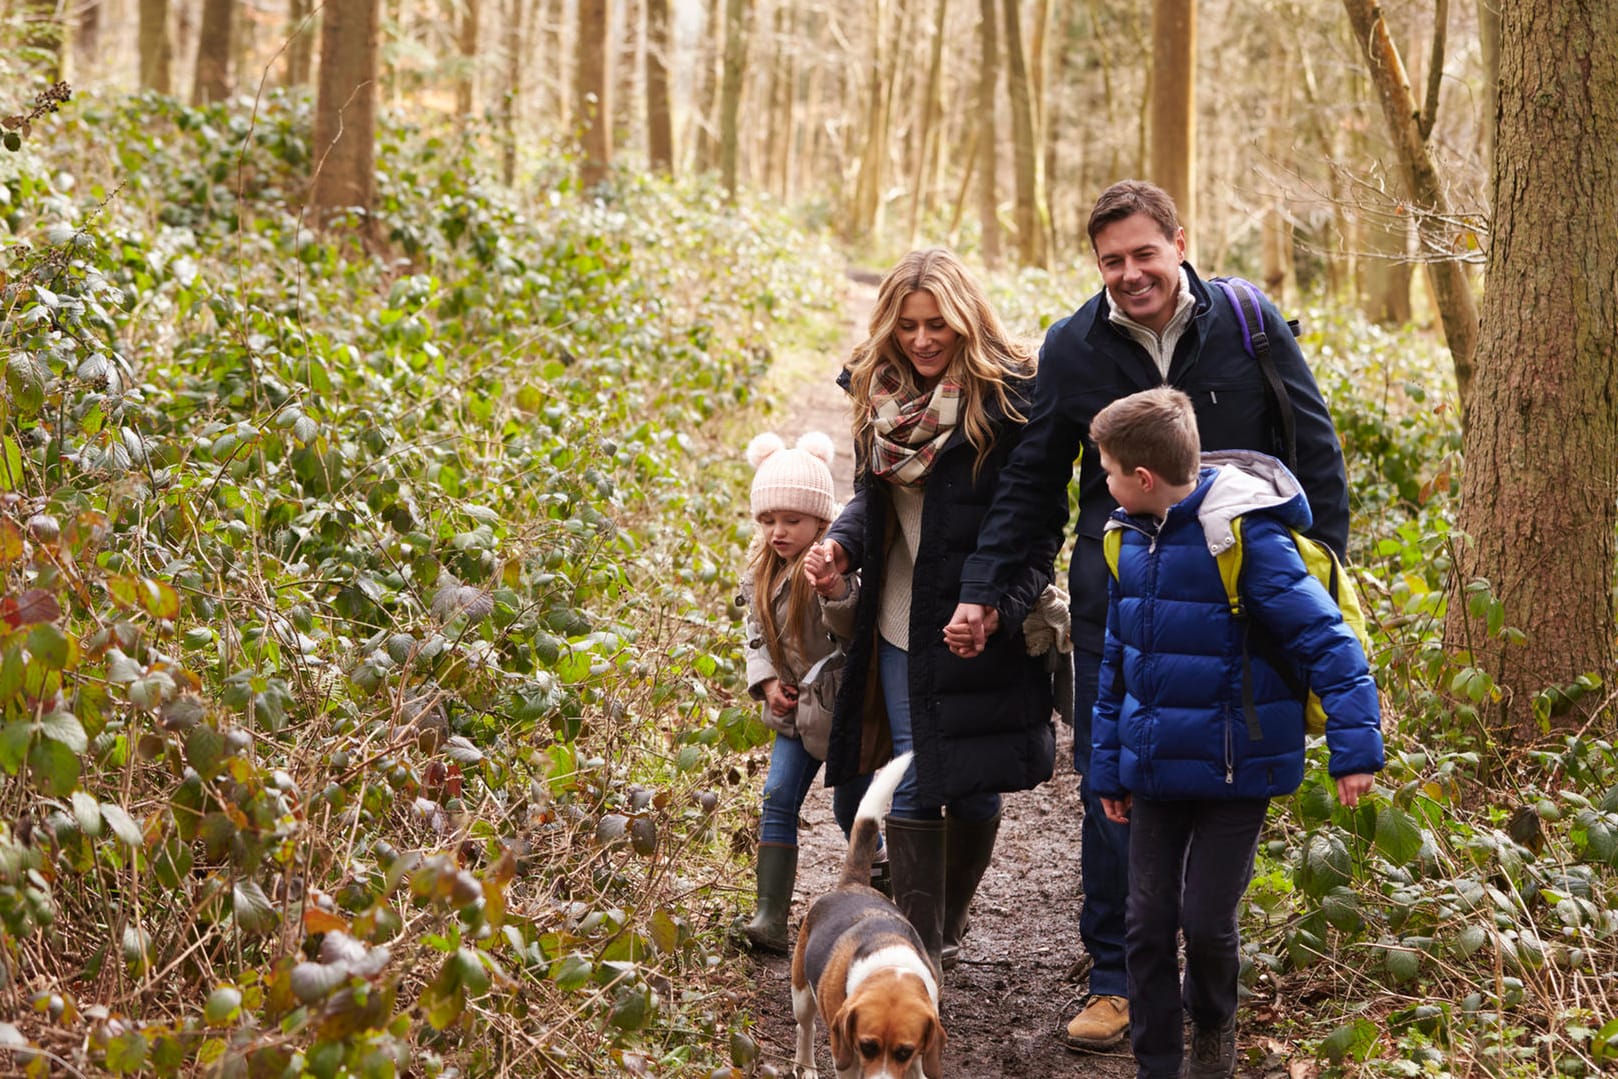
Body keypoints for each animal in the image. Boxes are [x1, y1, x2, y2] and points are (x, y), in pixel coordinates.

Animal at [786, 750, 944, 1079]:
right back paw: (805, 1065)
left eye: (904, 1051)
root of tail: (854, 884)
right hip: (801, 994)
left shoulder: (919, 1058)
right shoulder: (846, 1055)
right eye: (868, 1046)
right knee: (804, 1028)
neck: (889, 964)